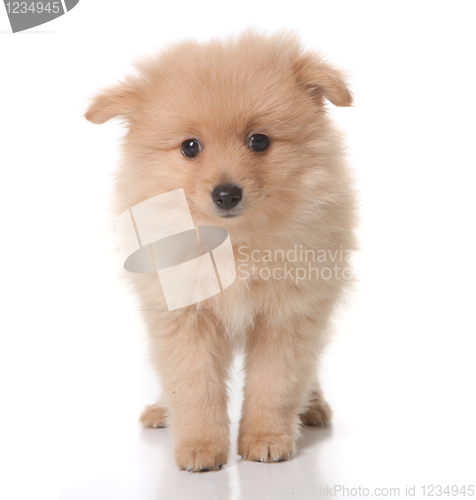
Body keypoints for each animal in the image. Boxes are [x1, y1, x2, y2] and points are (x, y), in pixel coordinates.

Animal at [84, 32, 354, 472]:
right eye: (190, 147)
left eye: (259, 141)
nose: (226, 193)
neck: (233, 243)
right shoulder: (183, 316)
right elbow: (193, 386)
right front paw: (199, 447)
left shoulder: (288, 314)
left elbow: (276, 385)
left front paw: (265, 439)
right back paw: (161, 411)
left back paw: (313, 406)